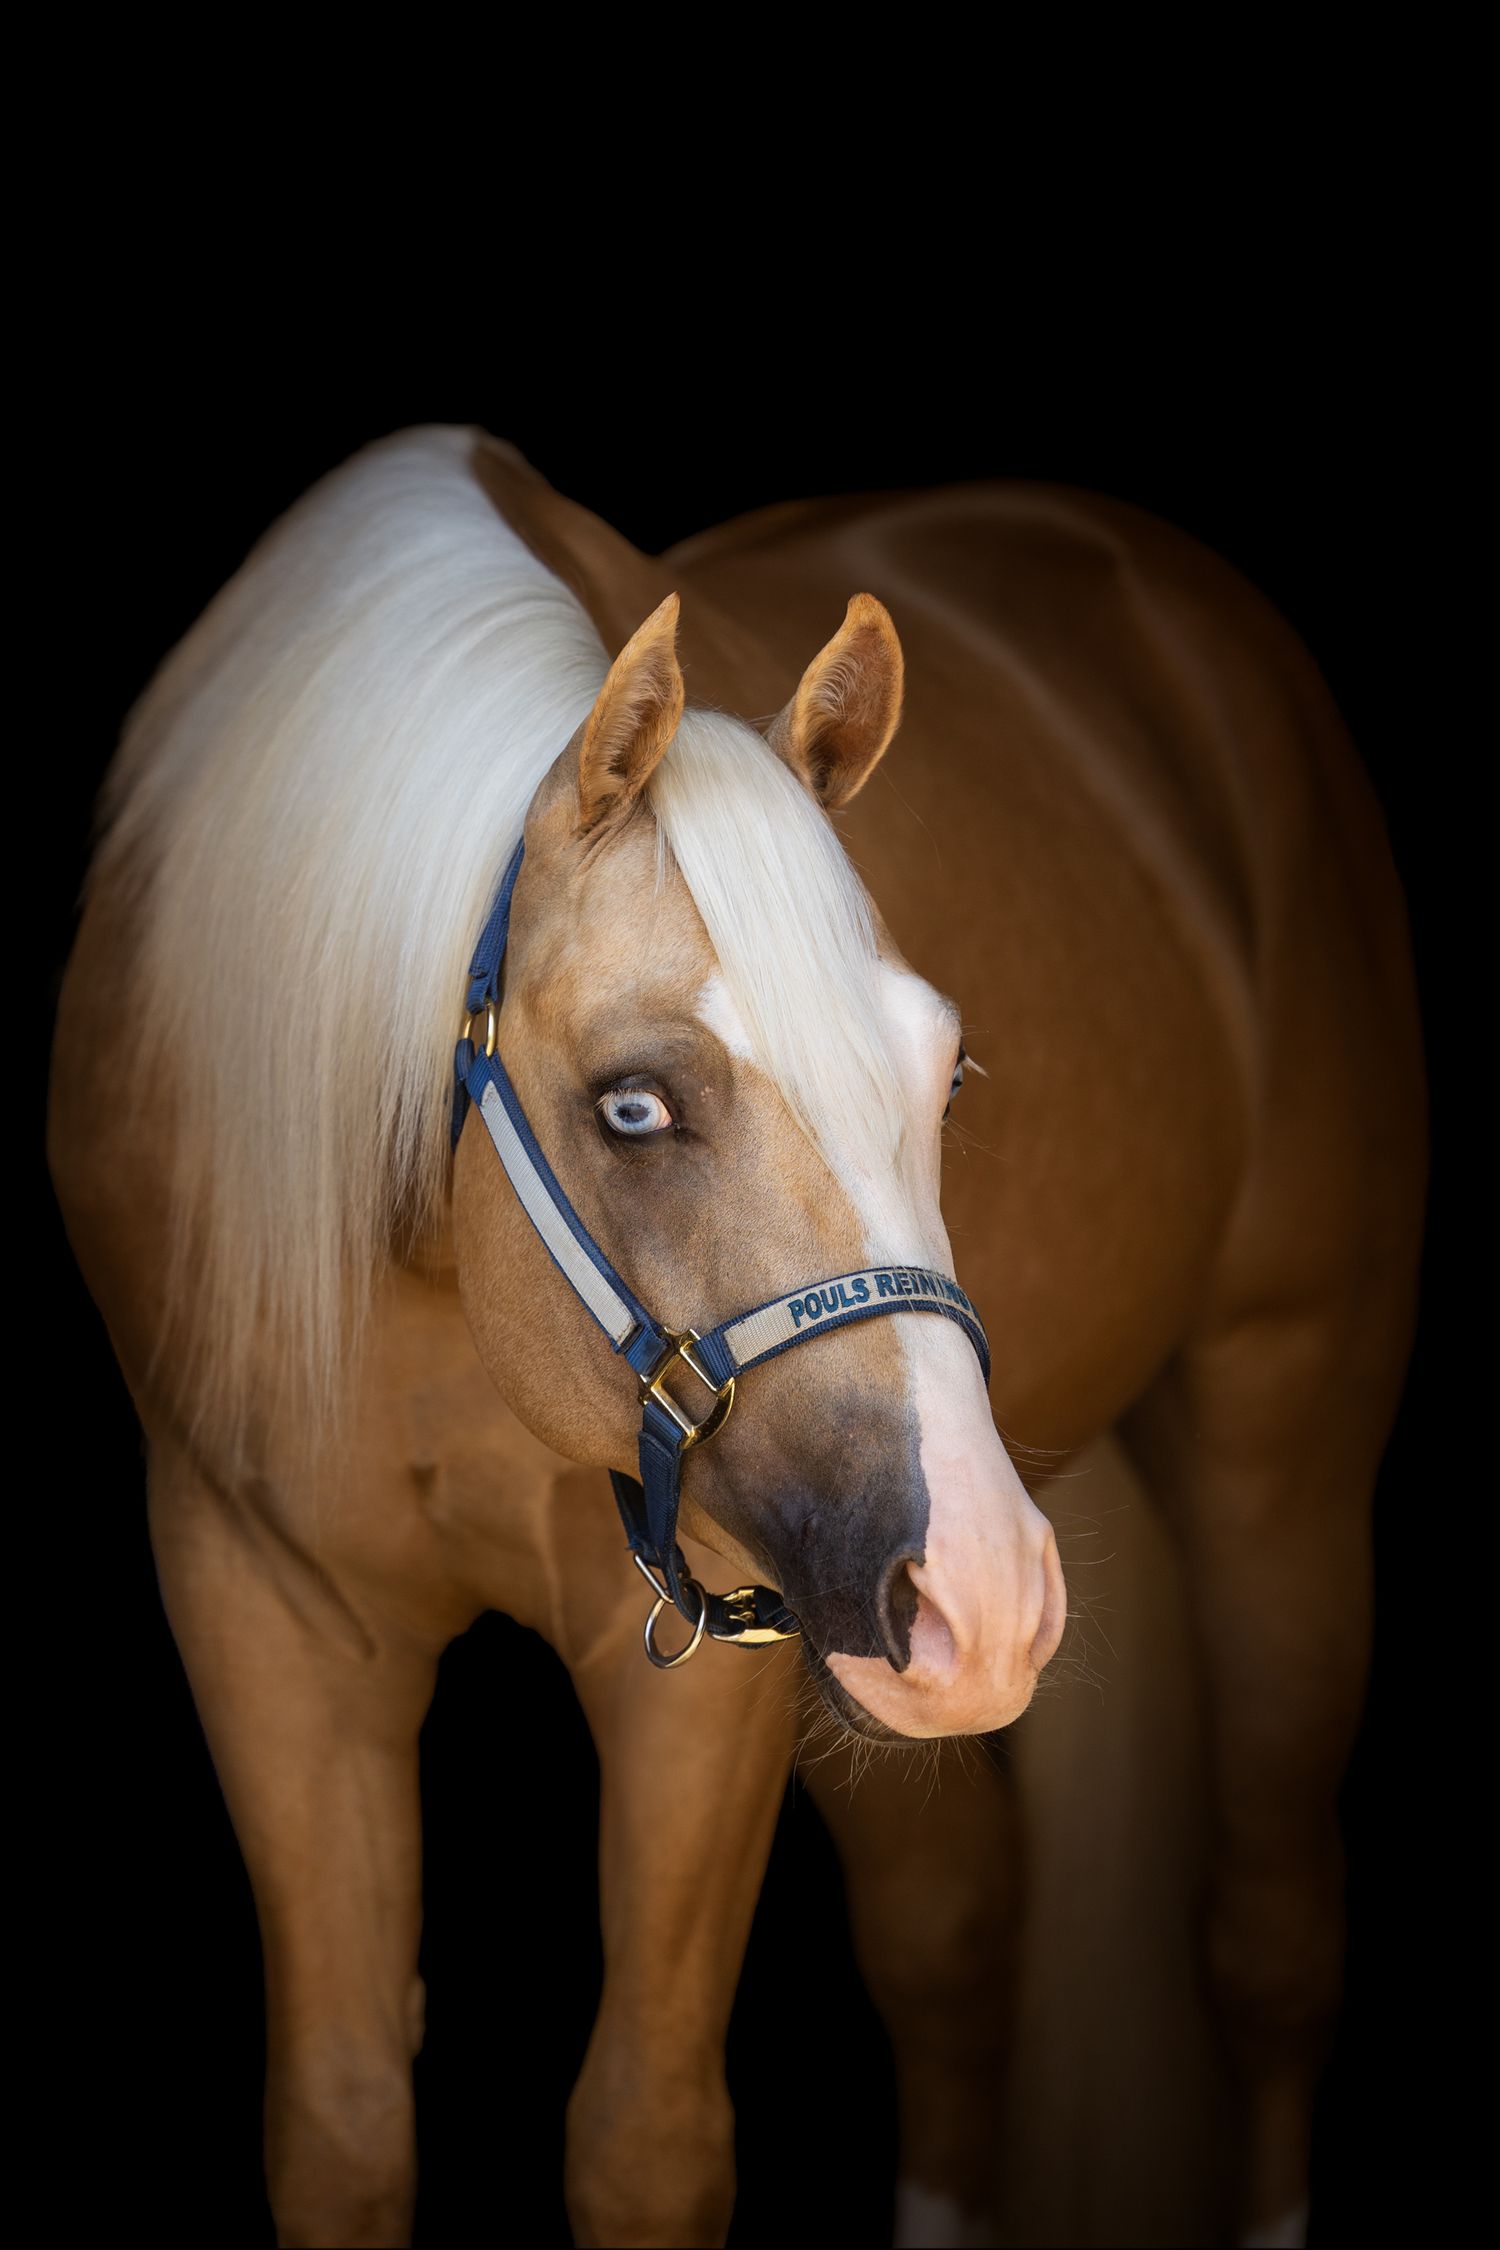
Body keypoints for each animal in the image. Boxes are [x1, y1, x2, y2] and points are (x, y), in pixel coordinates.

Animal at [48, 424, 1425, 2248]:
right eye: (635, 1104)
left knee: (1268, 1941)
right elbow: (339, 2123)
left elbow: (647, 2134)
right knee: (953, 1943)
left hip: (1281, 1444)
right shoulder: (257, 1597)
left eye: (948, 1076)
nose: (986, 1584)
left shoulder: (706, 1667)